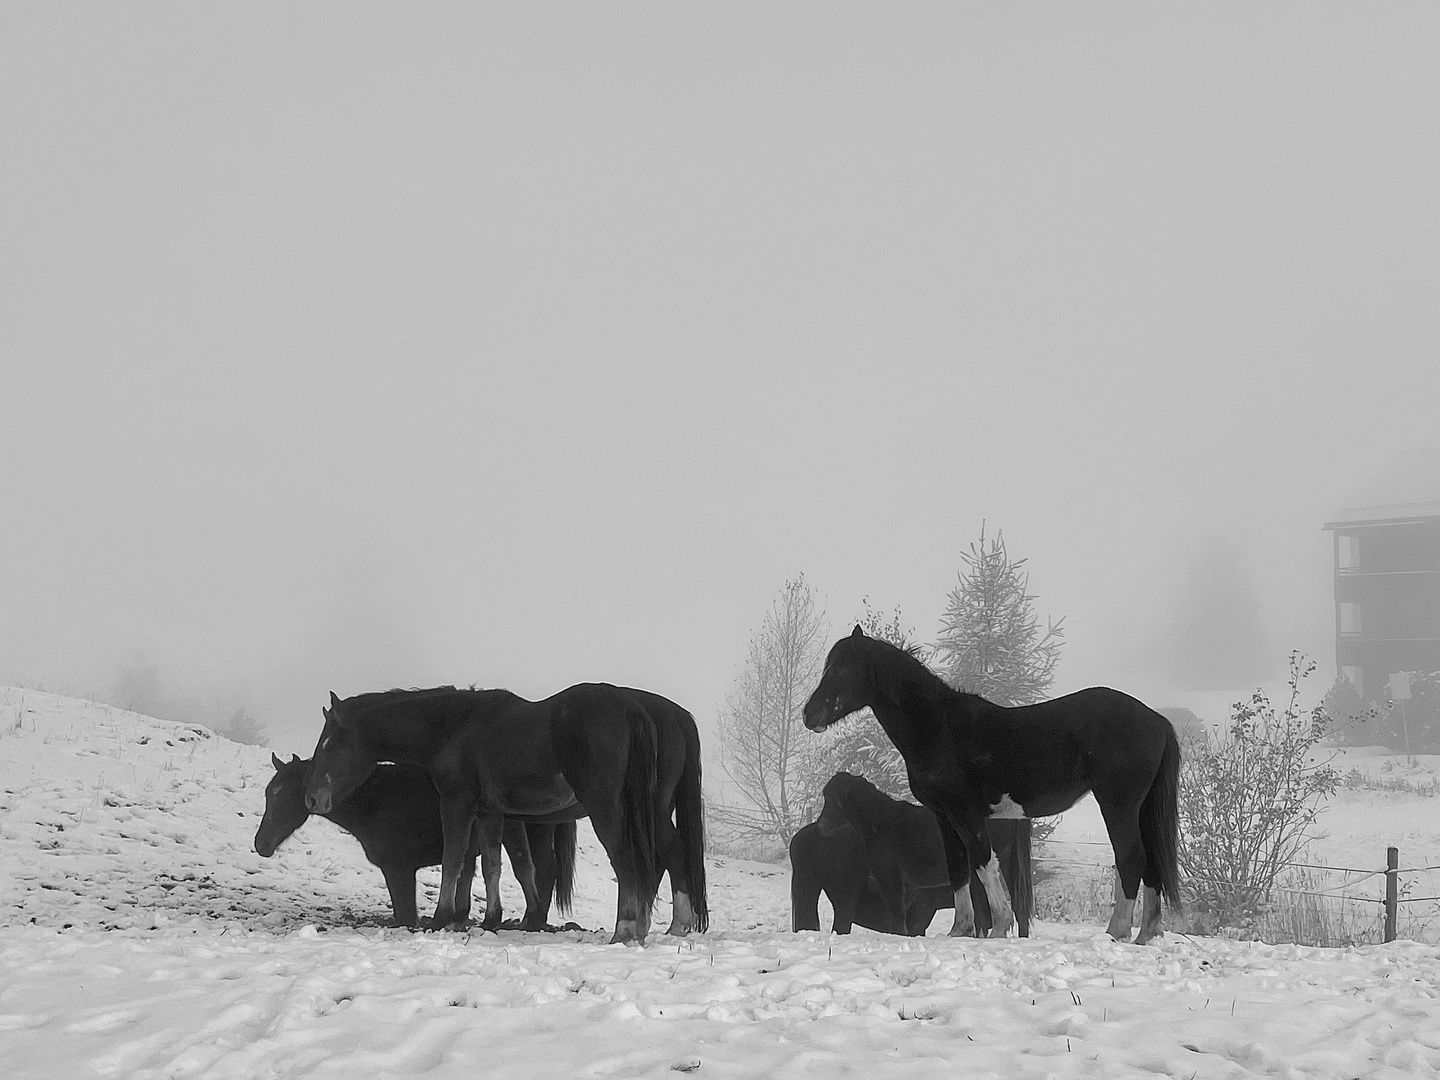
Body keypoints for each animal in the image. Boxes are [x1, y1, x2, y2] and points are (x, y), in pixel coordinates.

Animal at [253, 754, 573, 933]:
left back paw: (533, 920)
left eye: (287, 795)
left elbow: (406, 917)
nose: (261, 844)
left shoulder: (400, 871)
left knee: (542, 871)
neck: (377, 801)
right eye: (268, 793)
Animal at [789, 777, 1036, 938]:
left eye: (830, 798)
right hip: (1007, 864)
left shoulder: (891, 881)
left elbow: (898, 917)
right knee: (1018, 909)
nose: (821, 827)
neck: (881, 824)